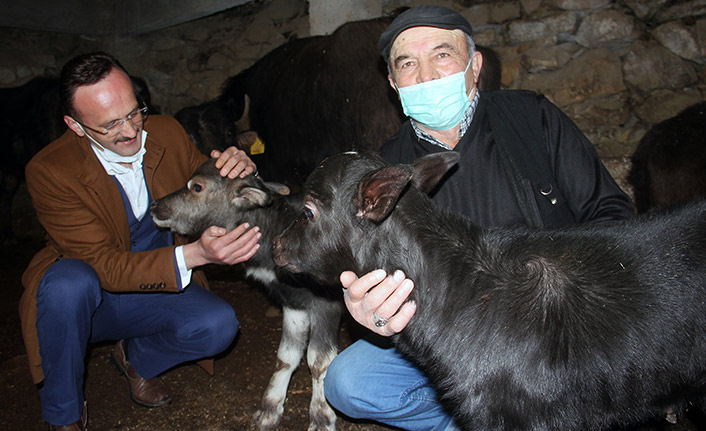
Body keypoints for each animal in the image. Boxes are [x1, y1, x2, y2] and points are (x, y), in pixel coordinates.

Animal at [150, 159, 342, 431]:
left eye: (197, 186)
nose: (155, 205)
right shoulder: (293, 302)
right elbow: (287, 356)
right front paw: (269, 409)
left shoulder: (327, 304)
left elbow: (319, 362)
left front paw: (321, 419)